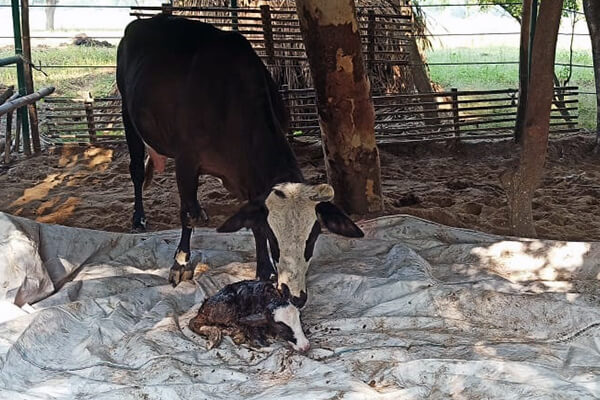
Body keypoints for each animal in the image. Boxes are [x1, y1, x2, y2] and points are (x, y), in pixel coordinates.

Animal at [115, 16, 364, 306]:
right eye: (274, 237)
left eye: (313, 237)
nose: (295, 295)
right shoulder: (186, 161)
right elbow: (187, 214)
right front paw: (180, 263)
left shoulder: (250, 176)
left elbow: (252, 220)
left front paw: (264, 271)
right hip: (127, 113)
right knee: (136, 171)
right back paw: (139, 218)